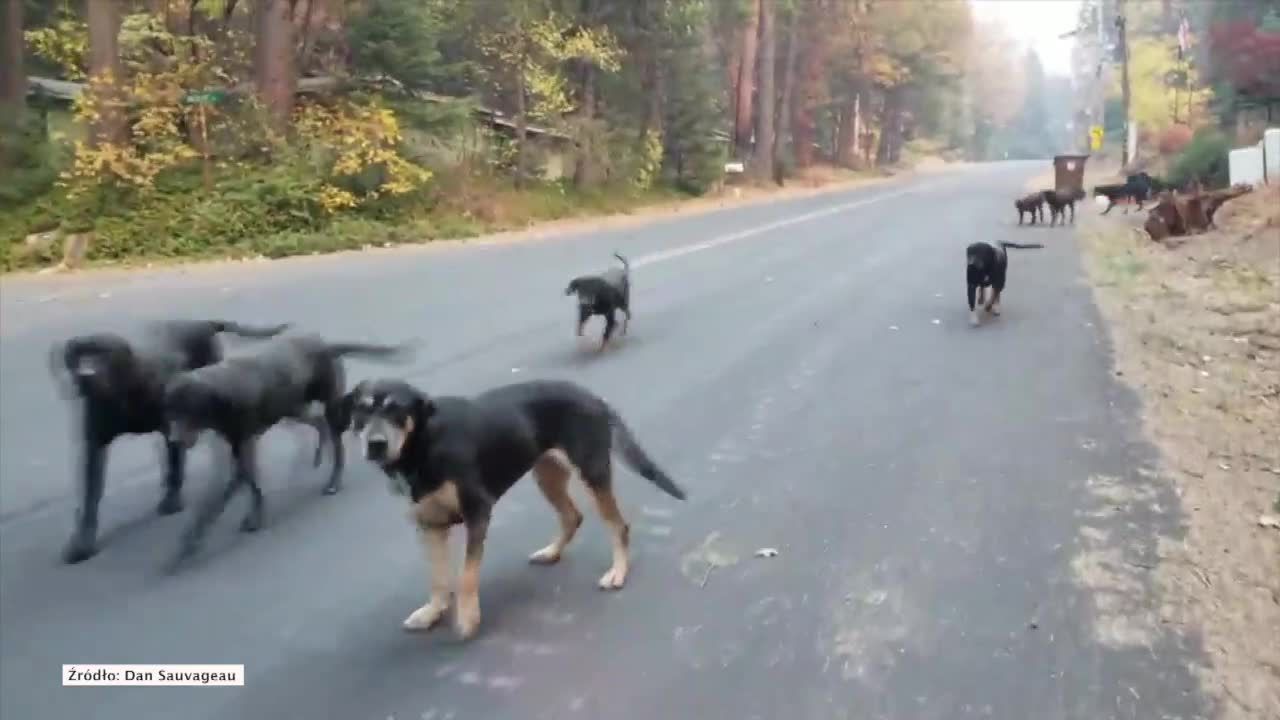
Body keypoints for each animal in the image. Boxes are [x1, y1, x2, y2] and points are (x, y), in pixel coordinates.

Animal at [48, 317, 289, 561]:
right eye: (81, 356)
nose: (86, 374)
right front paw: (82, 542)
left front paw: (172, 500)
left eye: (103, 356)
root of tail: (200, 322)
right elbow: (91, 493)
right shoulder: (95, 440)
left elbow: (175, 465)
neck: (125, 392)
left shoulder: (171, 425)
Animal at [162, 333, 414, 566]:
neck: (221, 391)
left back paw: (333, 481)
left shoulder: (242, 451)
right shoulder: (242, 451)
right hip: (294, 407)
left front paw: (191, 543)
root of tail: (323, 342)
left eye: (191, 410)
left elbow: (216, 503)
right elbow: (252, 486)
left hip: (328, 407)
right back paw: (317, 455)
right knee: (319, 424)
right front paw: (254, 515)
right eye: (171, 412)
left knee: (337, 445)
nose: (174, 440)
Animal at [340, 376, 680, 638]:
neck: (423, 444)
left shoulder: (478, 511)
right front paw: (432, 612)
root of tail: (593, 397)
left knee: (617, 525)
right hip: (547, 474)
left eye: (397, 410)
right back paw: (551, 552)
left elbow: (465, 576)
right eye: (361, 410)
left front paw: (467, 618)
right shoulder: (429, 525)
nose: (376, 445)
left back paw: (618, 572)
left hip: (591, 473)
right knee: (572, 516)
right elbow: (437, 579)